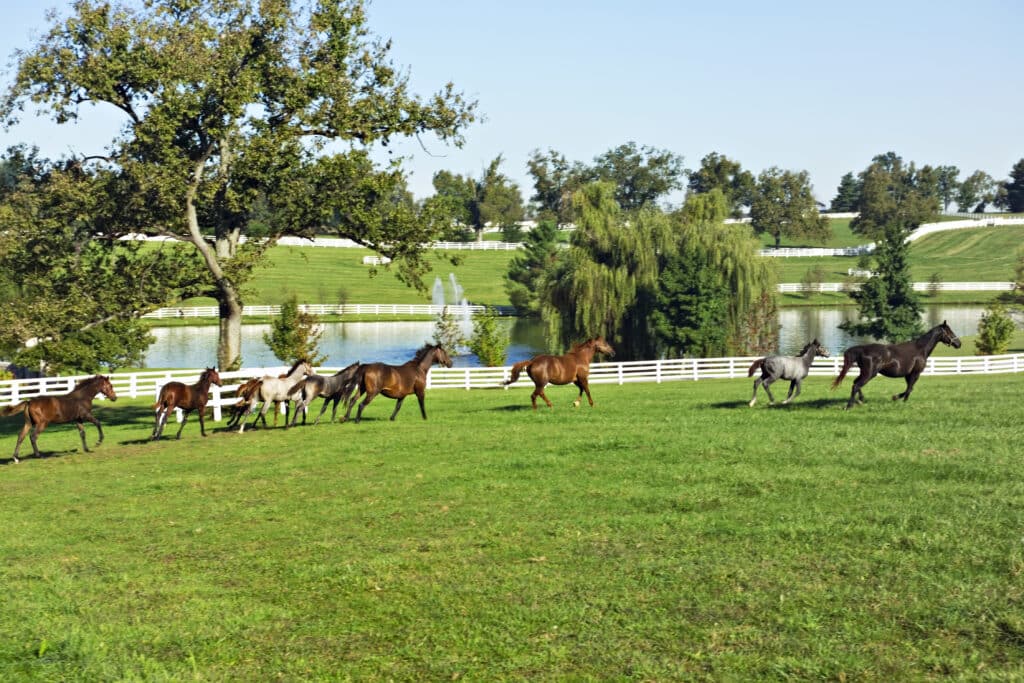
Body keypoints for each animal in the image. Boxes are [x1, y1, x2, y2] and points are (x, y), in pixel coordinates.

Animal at [831, 320, 961, 409]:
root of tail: (862, 350)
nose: (959, 344)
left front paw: (901, 400)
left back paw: (860, 400)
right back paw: (849, 406)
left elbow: (909, 388)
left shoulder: (908, 375)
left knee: (855, 383)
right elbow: (909, 389)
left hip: (865, 373)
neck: (920, 350)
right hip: (869, 374)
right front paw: (897, 398)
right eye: (949, 331)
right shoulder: (915, 373)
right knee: (856, 385)